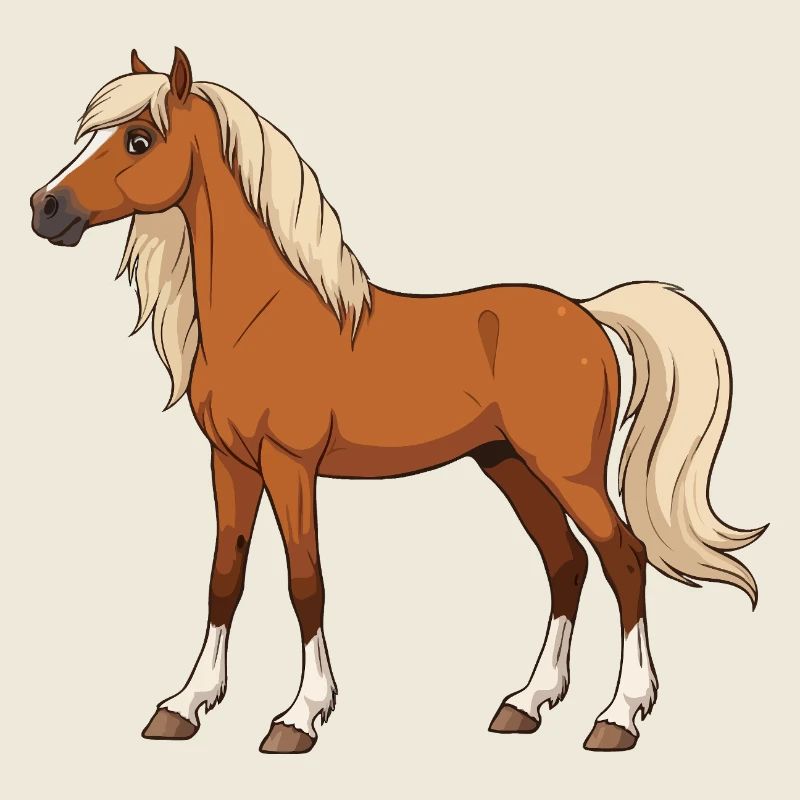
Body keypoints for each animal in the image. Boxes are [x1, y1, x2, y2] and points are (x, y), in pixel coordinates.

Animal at [30, 47, 766, 754]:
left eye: (139, 140)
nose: (45, 208)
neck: (264, 319)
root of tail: (586, 312)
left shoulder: (291, 464)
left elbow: (305, 582)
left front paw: (300, 717)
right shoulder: (230, 463)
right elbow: (223, 578)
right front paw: (184, 706)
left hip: (567, 470)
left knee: (624, 559)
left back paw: (619, 716)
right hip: (507, 464)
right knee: (566, 564)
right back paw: (526, 703)